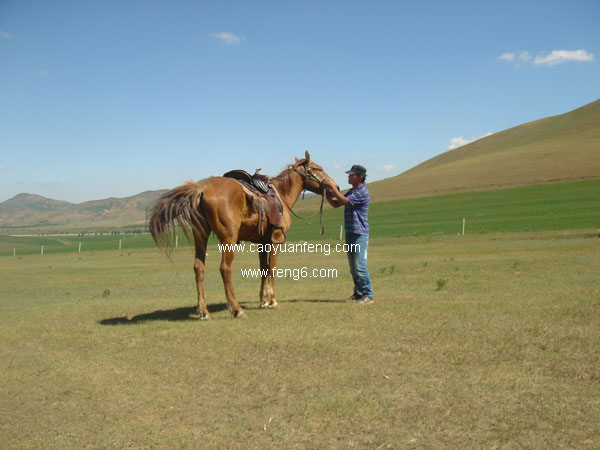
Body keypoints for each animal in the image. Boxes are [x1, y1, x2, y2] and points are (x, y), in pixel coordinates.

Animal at [148, 151, 338, 320]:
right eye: (319, 169)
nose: (335, 186)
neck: (281, 196)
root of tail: (203, 188)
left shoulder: (263, 243)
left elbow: (263, 269)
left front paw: (263, 301)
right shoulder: (276, 240)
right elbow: (272, 268)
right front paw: (272, 300)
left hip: (200, 236)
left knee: (198, 268)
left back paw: (203, 311)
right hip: (229, 240)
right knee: (225, 269)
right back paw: (237, 310)